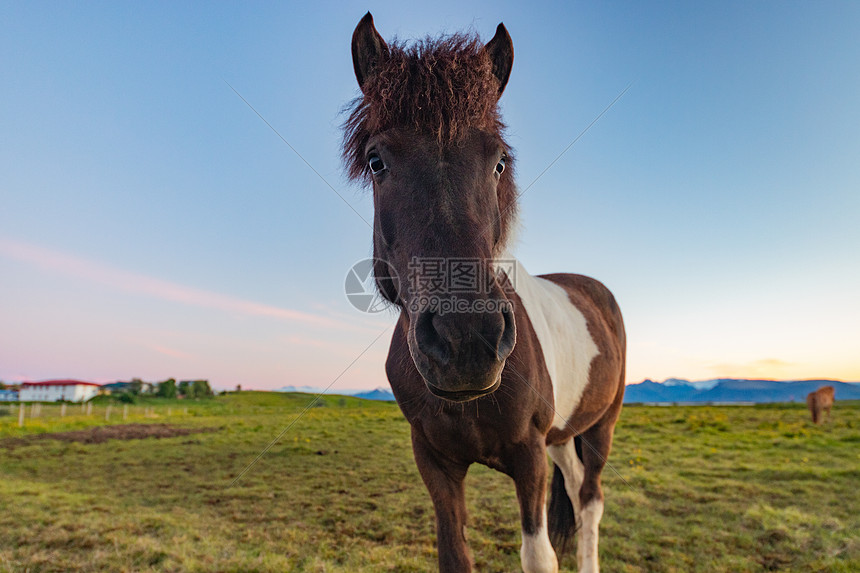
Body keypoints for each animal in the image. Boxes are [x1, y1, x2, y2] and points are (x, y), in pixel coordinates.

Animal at [342, 13, 624, 572]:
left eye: (498, 163)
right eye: (377, 161)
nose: (466, 339)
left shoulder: (529, 455)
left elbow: (539, 555)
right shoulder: (434, 460)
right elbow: (454, 552)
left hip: (600, 425)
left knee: (590, 503)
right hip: (563, 438)